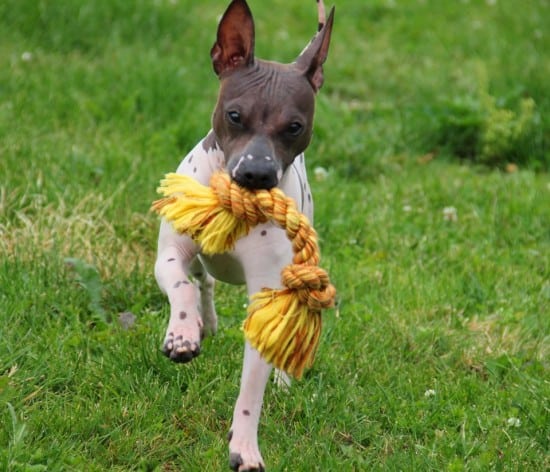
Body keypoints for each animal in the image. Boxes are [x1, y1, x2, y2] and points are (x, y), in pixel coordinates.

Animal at [155, 1, 336, 470]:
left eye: (294, 127)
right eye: (235, 115)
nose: (255, 174)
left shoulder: (267, 297)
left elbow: (251, 391)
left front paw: (245, 447)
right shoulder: (170, 253)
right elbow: (180, 283)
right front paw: (183, 333)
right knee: (203, 280)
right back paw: (204, 322)